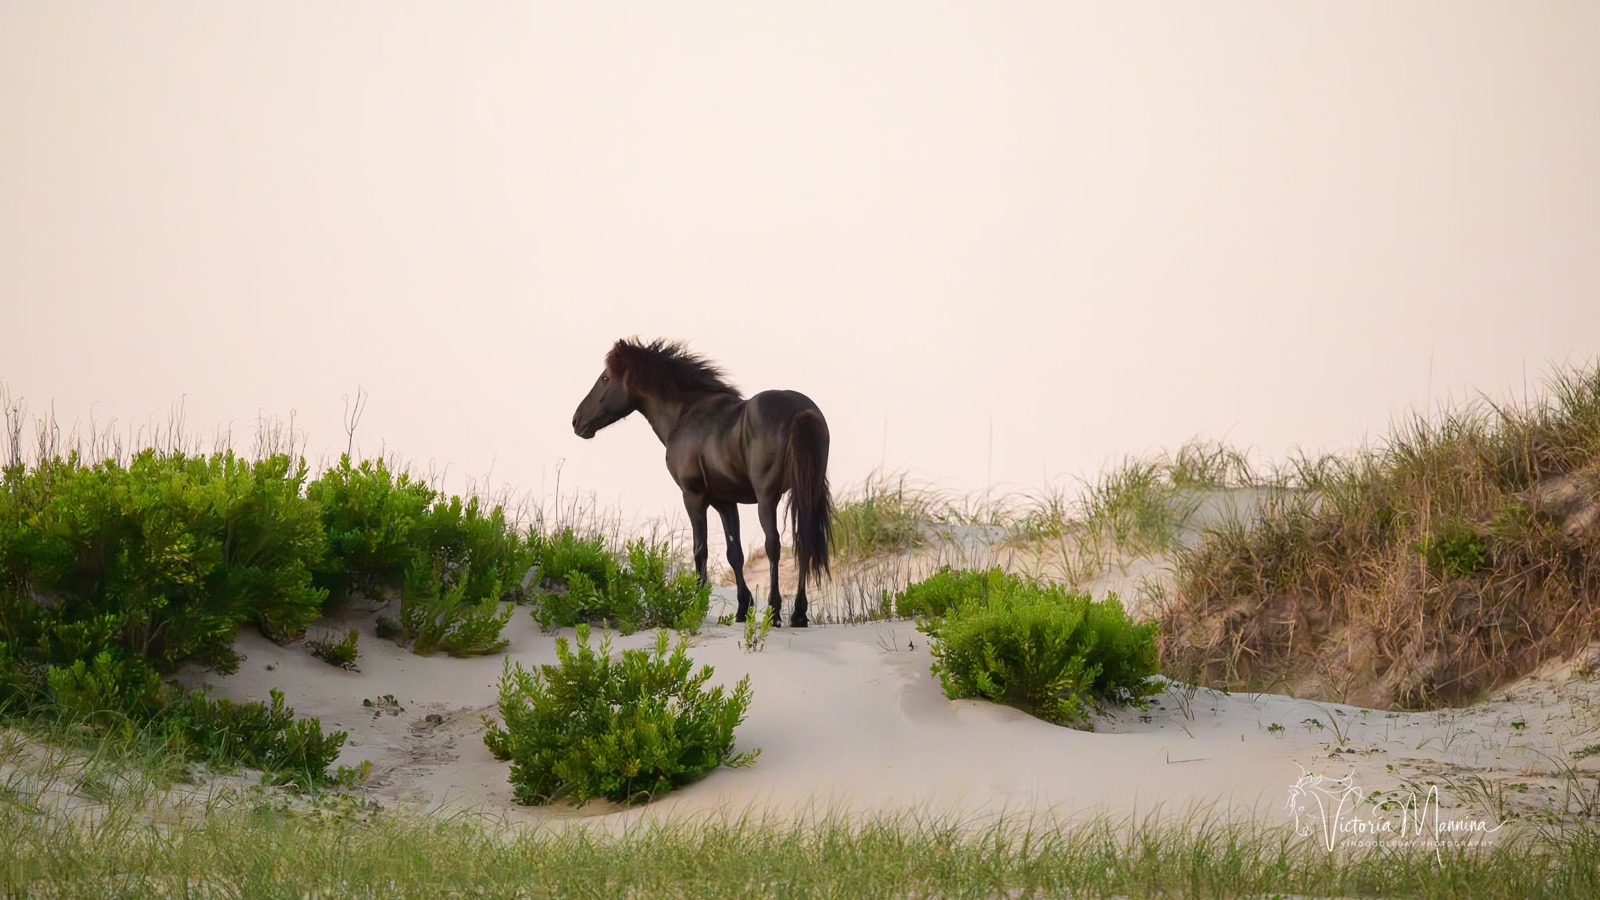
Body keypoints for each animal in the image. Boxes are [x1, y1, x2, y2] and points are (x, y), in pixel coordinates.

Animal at [571, 337, 835, 627]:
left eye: (605, 377)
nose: (576, 421)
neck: (686, 414)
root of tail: (802, 413)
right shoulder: (725, 501)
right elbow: (734, 553)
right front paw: (742, 608)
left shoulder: (693, 496)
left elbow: (701, 550)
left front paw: (696, 604)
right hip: (806, 493)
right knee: (804, 543)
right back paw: (798, 614)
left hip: (768, 498)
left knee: (773, 545)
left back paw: (775, 611)